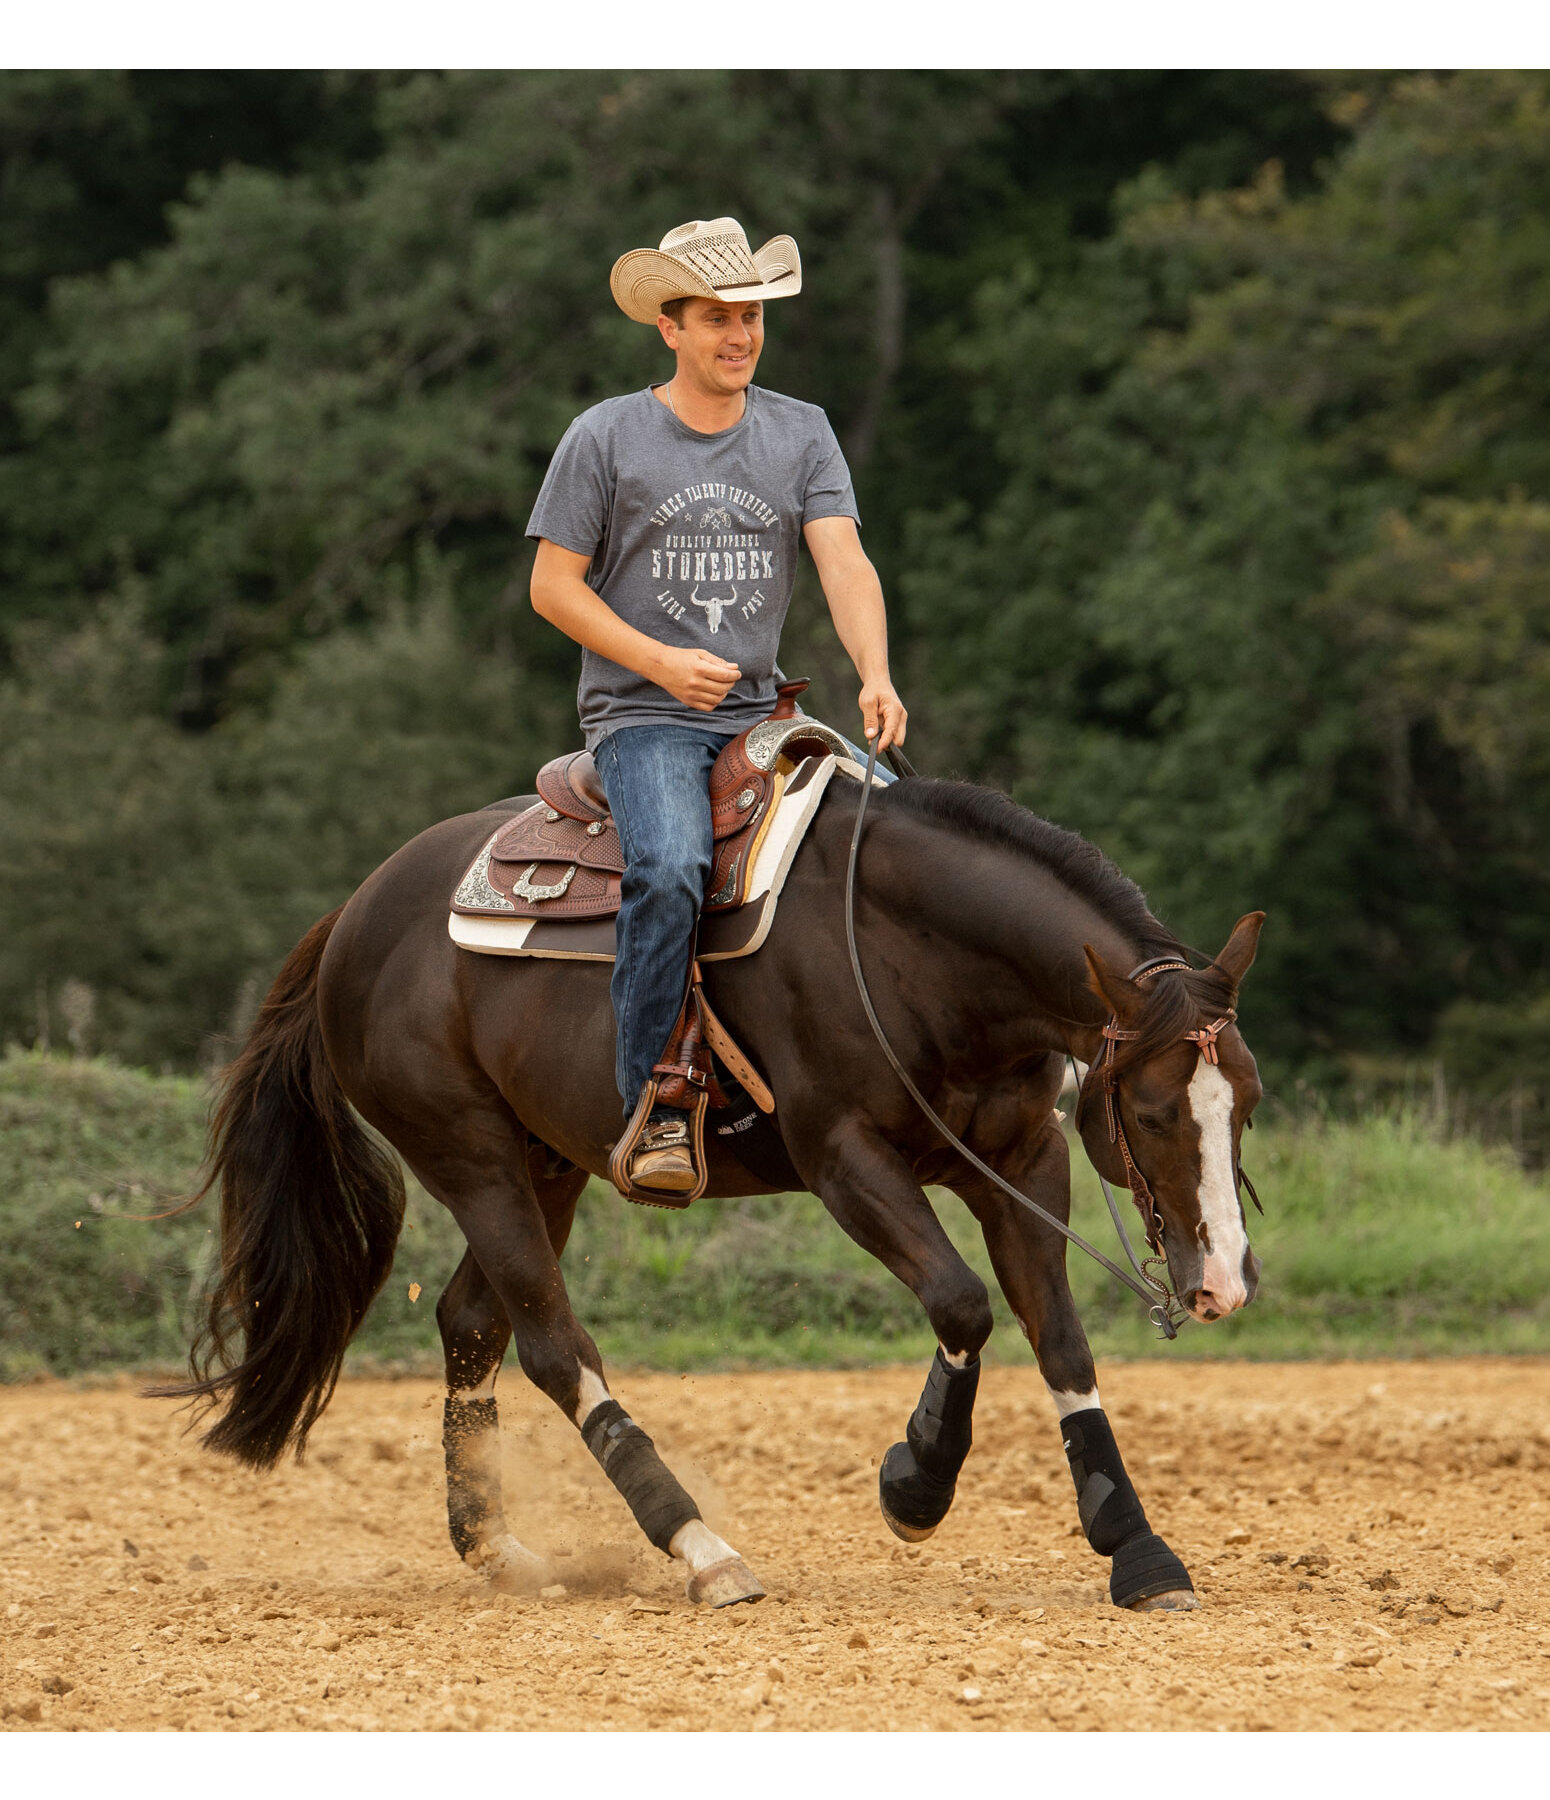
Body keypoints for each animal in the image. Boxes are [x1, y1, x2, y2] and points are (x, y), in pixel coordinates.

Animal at [166, 774, 1260, 1620]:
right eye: (1153, 1111)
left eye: (1243, 1101)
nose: (1221, 1283)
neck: (913, 950)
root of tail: (352, 917)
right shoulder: (844, 1160)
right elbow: (961, 1305)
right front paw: (914, 1484)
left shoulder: (1023, 1159)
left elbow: (1059, 1341)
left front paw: (1138, 1550)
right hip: (469, 1155)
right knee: (553, 1346)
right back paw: (700, 1547)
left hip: (545, 1163)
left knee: (471, 1322)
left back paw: (496, 1547)